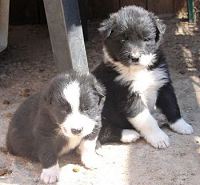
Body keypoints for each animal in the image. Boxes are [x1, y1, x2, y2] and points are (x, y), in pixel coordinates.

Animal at [94, 5, 193, 149]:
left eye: (146, 39)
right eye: (123, 39)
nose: (135, 57)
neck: (140, 71)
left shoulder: (163, 84)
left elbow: (172, 106)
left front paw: (181, 125)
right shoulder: (128, 94)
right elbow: (146, 120)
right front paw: (159, 138)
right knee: (104, 132)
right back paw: (130, 134)